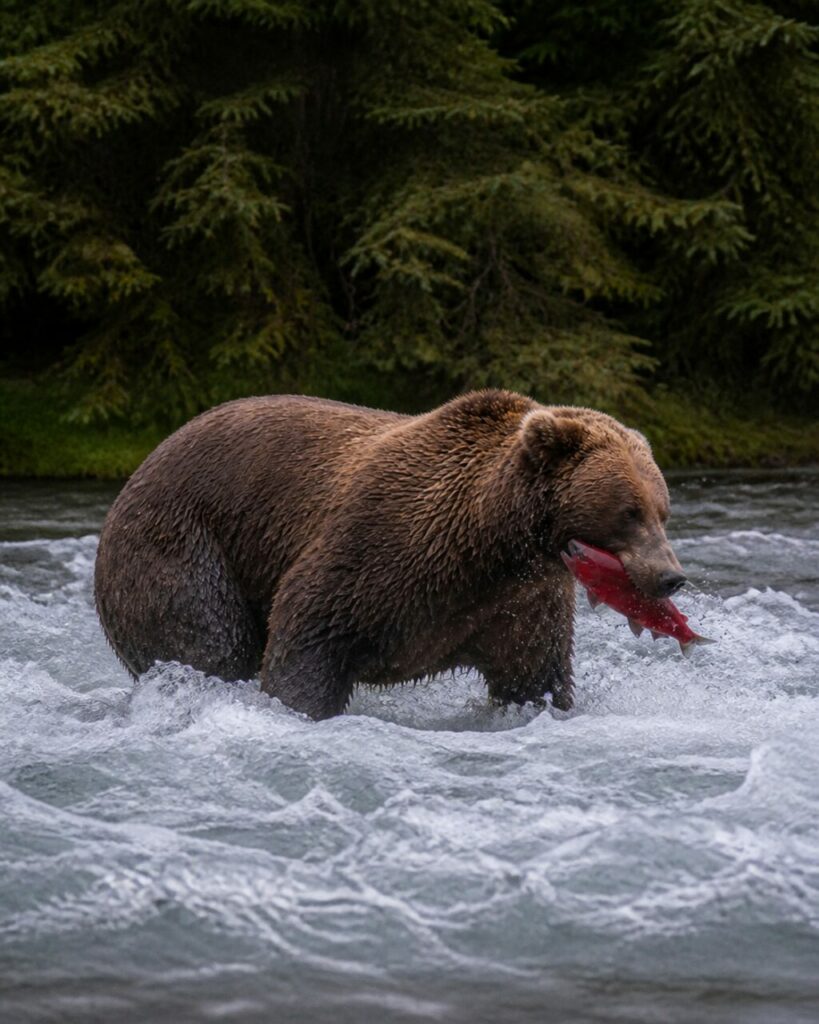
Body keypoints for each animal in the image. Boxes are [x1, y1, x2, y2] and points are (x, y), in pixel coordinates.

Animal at [94, 390, 686, 719]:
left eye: (663, 509)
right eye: (629, 510)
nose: (670, 577)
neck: (490, 542)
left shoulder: (519, 601)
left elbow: (531, 673)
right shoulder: (382, 548)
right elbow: (310, 632)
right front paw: (299, 707)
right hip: (182, 548)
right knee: (209, 641)